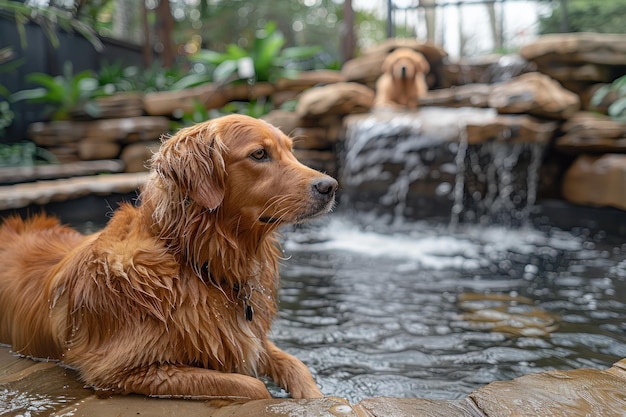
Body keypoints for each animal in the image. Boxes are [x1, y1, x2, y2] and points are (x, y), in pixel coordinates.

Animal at [0, 114, 336, 400]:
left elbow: (297, 366)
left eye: (291, 151)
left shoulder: (252, 341)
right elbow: (254, 387)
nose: (330, 186)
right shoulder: (119, 370)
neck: (196, 263)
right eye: (259, 154)